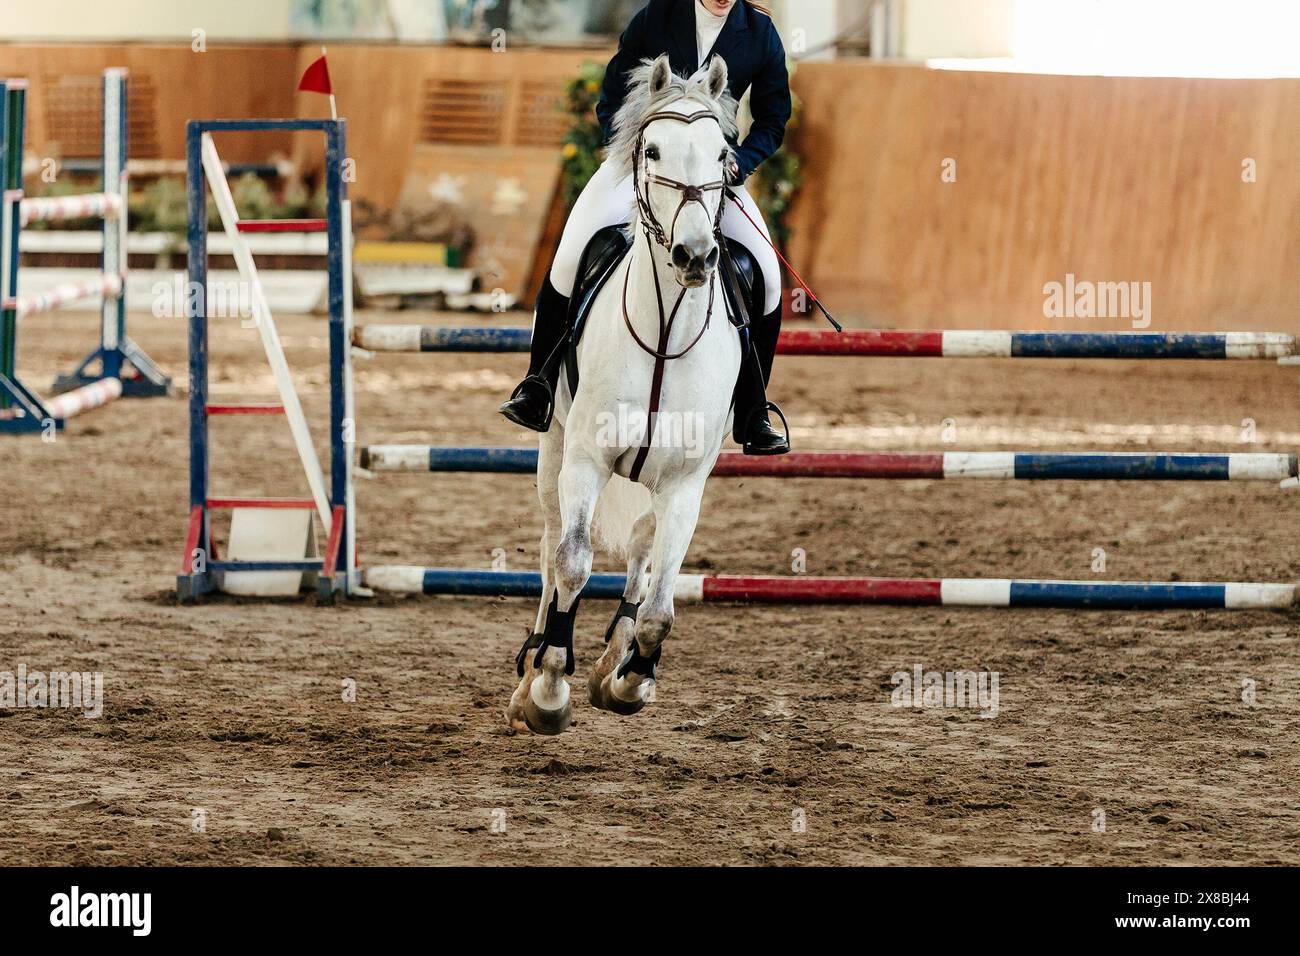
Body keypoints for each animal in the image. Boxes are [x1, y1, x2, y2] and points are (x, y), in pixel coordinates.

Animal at [512, 55, 748, 738]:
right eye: (652, 149)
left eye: (723, 154)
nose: (695, 255)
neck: (666, 330)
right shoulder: (586, 461)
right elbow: (572, 562)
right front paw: (549, 689)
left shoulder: (687, 484)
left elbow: (661, 607)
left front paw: (629, 679)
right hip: (553, 451)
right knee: (549, 544)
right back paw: (531, 666)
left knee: (642, 548)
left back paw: (615, 655)